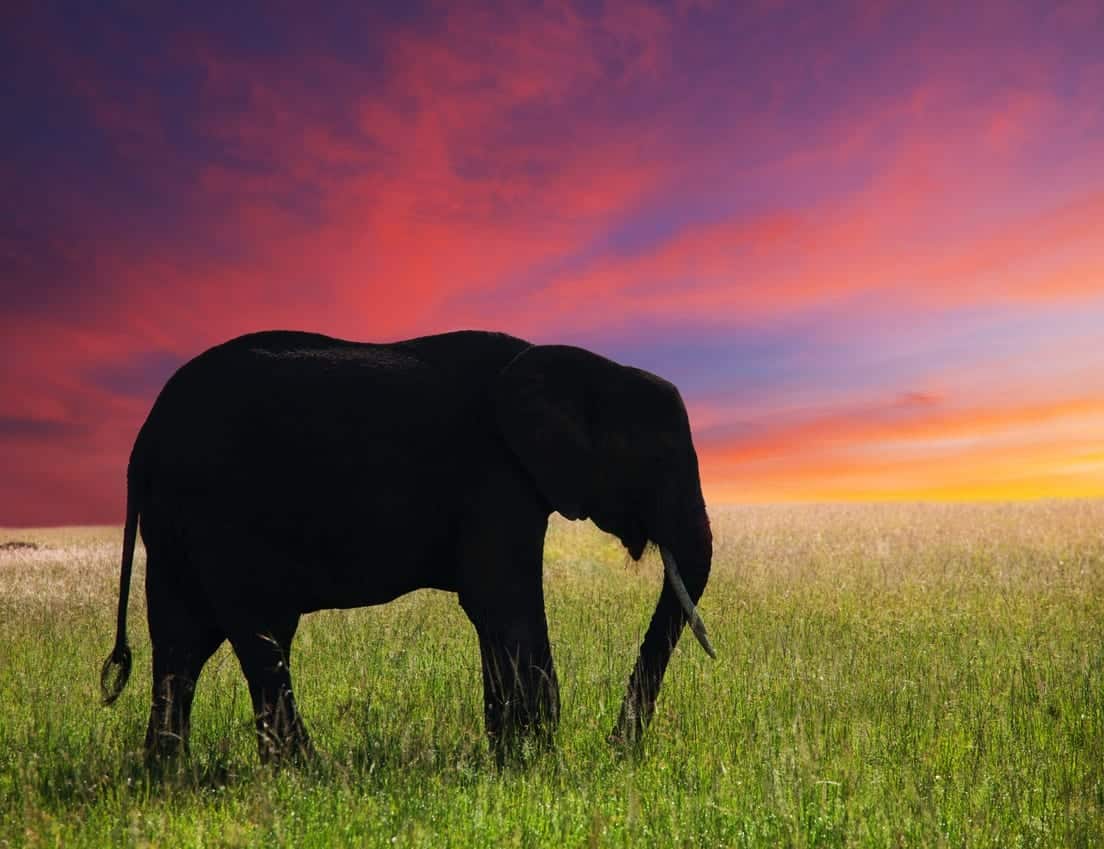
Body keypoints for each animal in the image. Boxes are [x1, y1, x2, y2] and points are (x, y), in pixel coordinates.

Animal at [100, 330, 714, 765]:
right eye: (660, 459)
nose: (616, 748)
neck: (590, 368)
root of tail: (144, 436)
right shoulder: (496, 476)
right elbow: (504, 605)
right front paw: (536, 761)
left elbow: (494, 615)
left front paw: (511, 758)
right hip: (219, 511)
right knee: (257, 633)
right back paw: (306, 772)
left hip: (179, 522)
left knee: (185, 640)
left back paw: (168, 775)